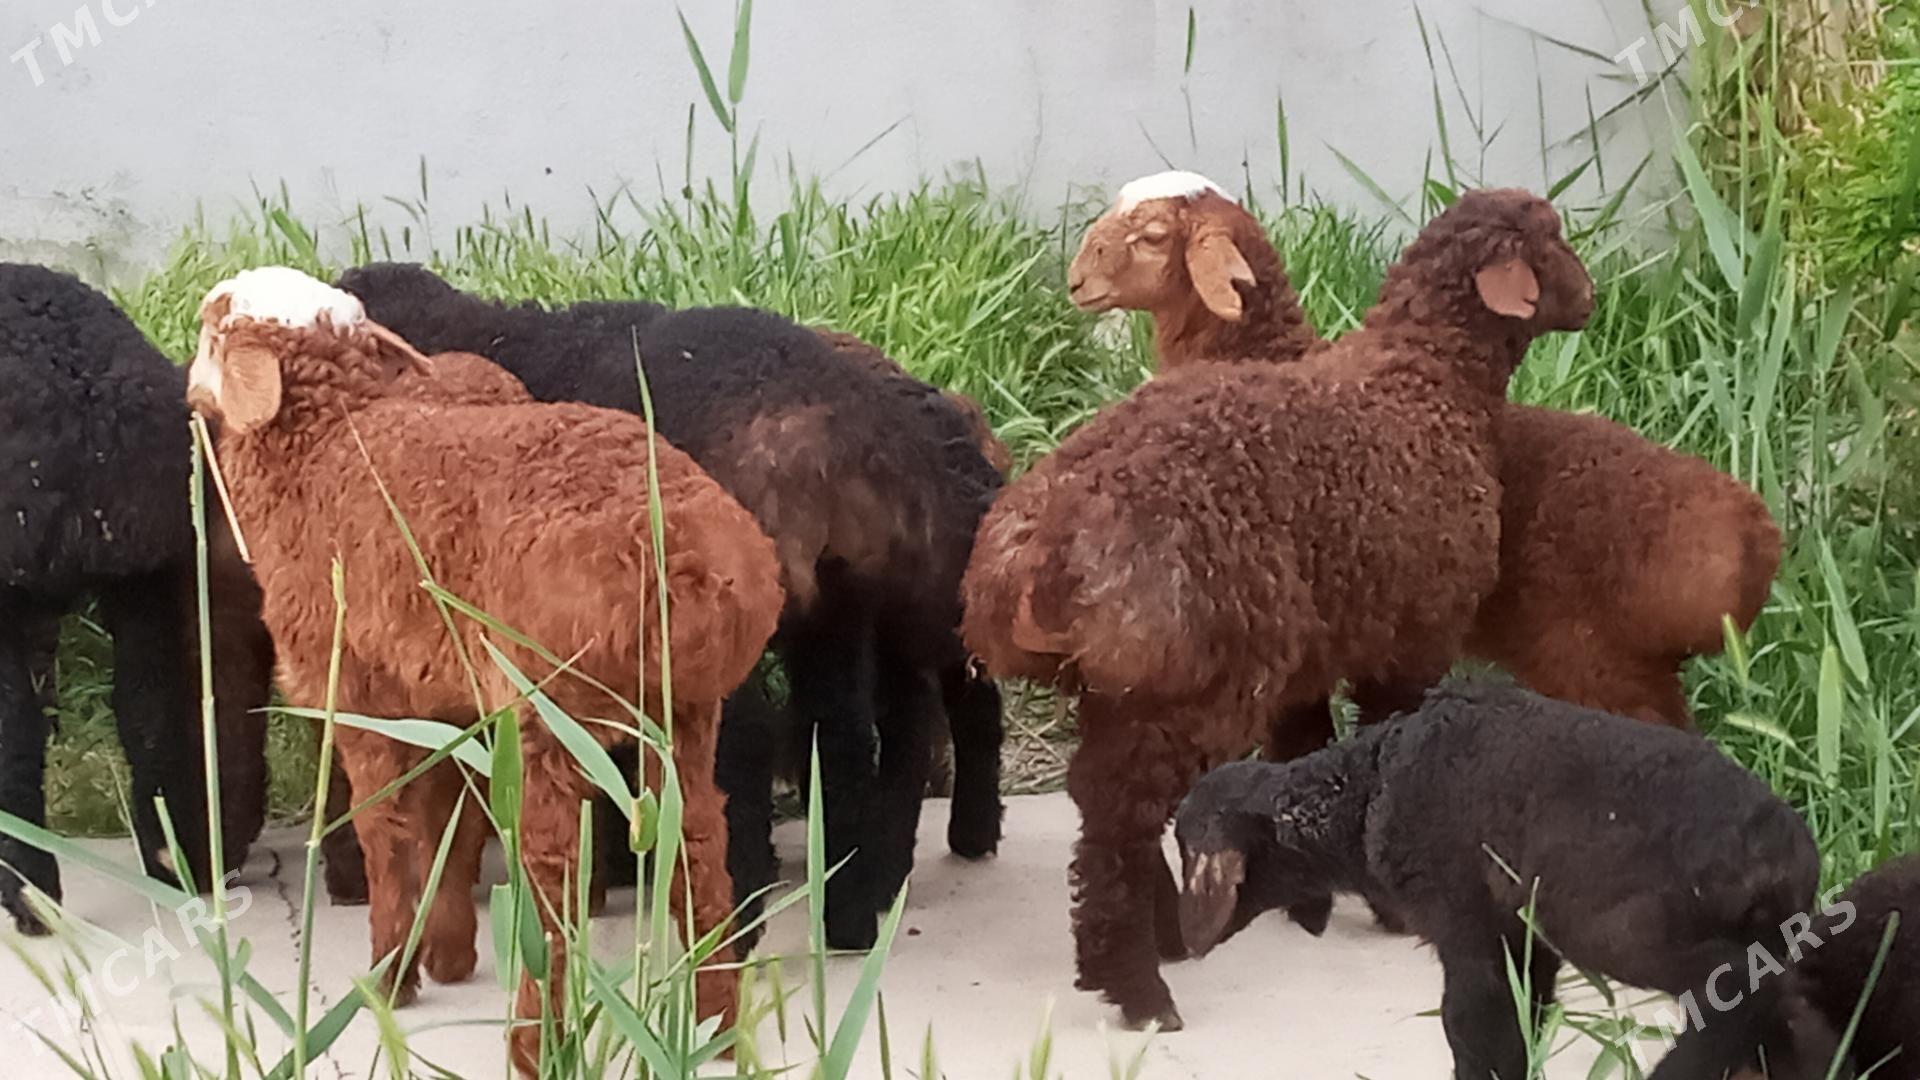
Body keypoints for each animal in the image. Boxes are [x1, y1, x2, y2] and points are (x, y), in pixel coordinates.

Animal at [185, 267, 783, 1071]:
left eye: (212, 328)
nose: (188, 389)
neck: (328, 444)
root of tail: (687, 559)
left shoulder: (356, 685)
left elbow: (386, 827)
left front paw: (391, 975)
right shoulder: (442, 694)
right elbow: (447, 820)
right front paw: (444, 953)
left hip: (549, 710)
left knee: (554, 878)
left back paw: (536, 1044)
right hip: (679, 717)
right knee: (697, 846)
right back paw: (717, 1021)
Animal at [333, 264, 1007, 951]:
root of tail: (829, 439)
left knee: (753, 745)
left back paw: (738, 916)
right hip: (837, 609)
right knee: (845, 741)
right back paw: (850, 915)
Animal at [961, 189, 1595, 1028]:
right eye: (1551, 241)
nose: (1591, 299)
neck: (1425, 382)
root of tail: (1033, 556)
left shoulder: (1315, 653)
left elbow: (1304, 754)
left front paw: (1312, 900)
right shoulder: (1413, 638)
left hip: (1131, 682)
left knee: (1103, 800)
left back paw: (1163, 938)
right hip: (1199, 678)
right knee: (1118, 814)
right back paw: (1140, 987)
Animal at [1174, 680, 1825, 1080]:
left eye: (1184, 849)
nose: (1181, 945)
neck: (1363, 791)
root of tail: (1787, 856)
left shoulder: (1464, 923)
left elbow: (1472, 1026)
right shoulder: (1523, 938)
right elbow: (1521, 1021)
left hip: (1629, 929)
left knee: (1741, 989)